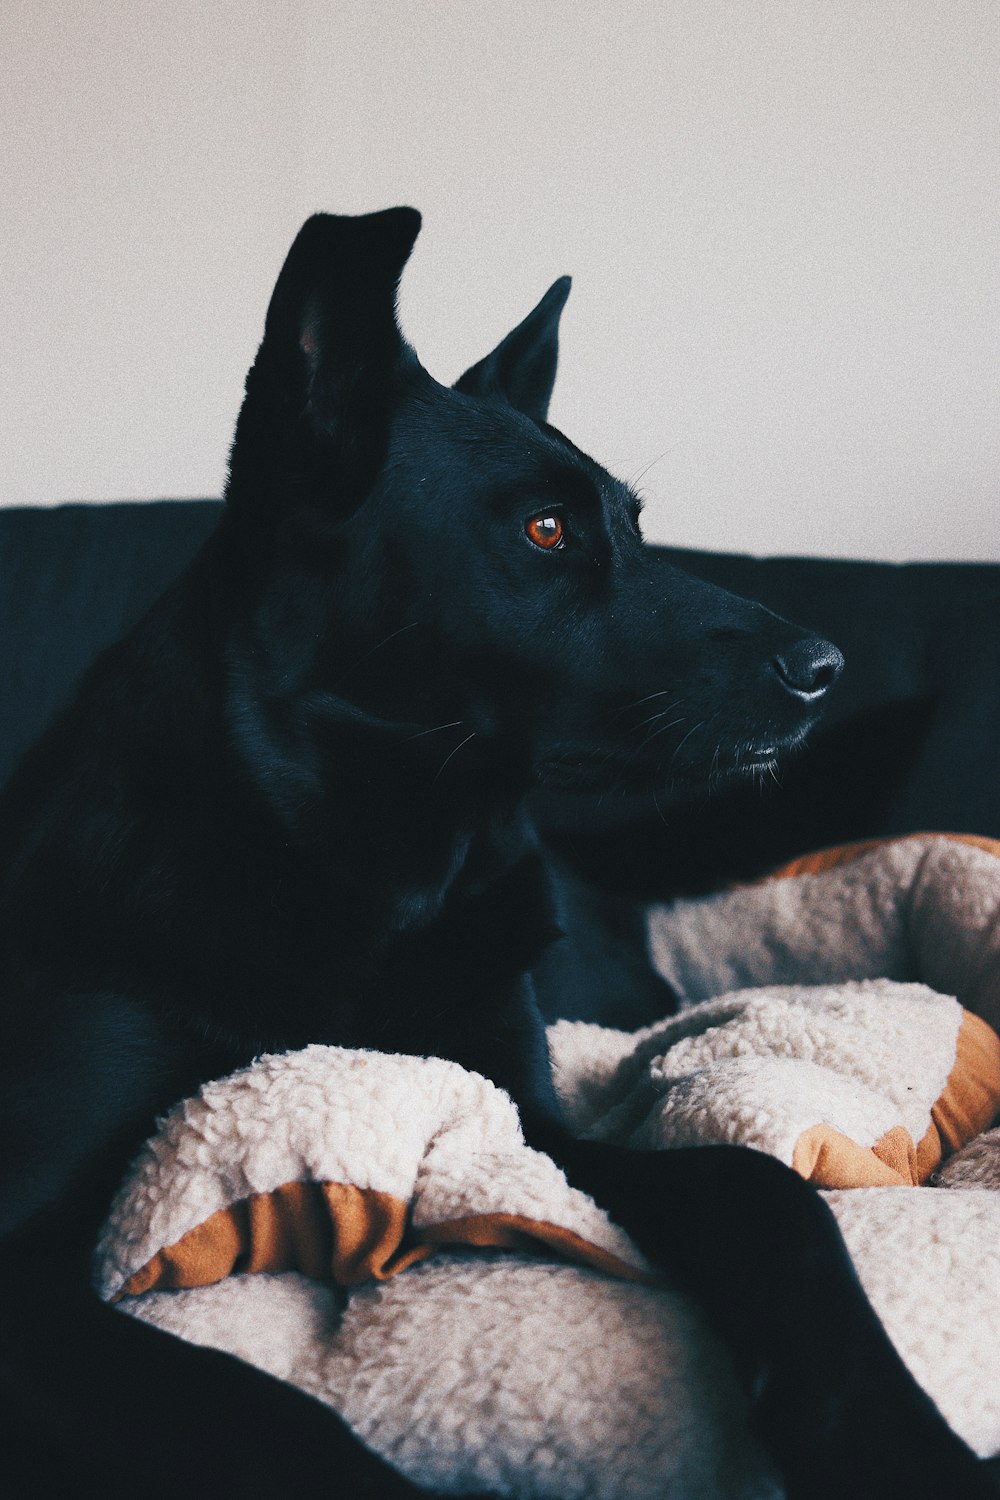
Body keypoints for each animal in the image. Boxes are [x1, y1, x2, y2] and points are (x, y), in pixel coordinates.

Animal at [0, 211, 995, 1500]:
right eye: (545, 529)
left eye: (632, 524)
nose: (825, 669)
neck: (361, 861)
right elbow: (249, 1410)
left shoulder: (531, 1130)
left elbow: (761, 1186)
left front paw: (893, 1433)